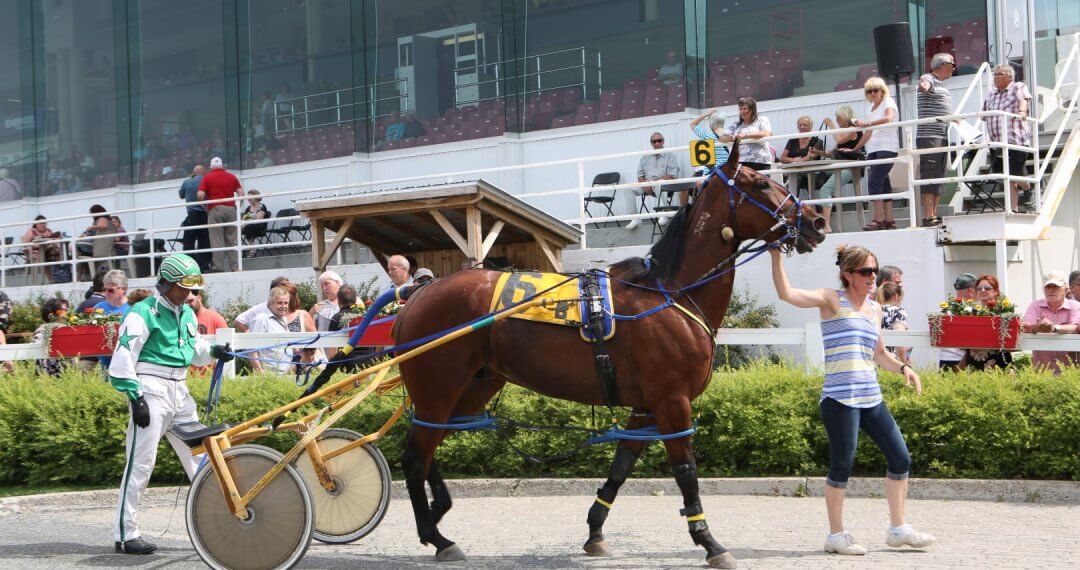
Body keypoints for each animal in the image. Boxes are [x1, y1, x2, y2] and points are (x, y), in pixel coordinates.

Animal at [393, 141, 820, 565]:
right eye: (761, 183)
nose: (815, 220)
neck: (671, 293)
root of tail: (417, 296)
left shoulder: (647, 406)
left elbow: (622, 464)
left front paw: (596, 530)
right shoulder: (672, 401)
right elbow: (685, 471)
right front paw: (709, 541)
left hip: (474, 387)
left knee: (430, 447)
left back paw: (439, 510)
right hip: (438, 387)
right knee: (415, 456)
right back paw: (436, 536)